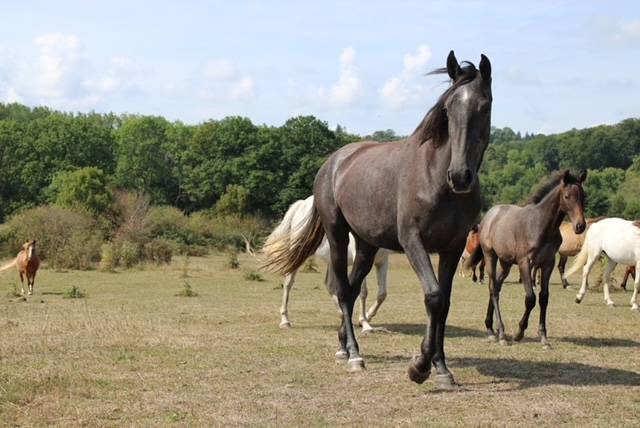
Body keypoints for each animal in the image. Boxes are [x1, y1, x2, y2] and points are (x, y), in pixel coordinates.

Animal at [263, 196, 390, 333]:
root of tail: (302, 204)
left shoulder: (382, 261)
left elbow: (382, 294)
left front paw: (368, 316)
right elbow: (363, 292)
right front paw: (365, 325)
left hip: (332, 259)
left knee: (329, 284)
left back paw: (343, 314)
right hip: (299, 252)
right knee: (288, 283)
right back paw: (285, 321)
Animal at [468, 170, 586, 347]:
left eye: (583, 196)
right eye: (567, 196)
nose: (580, 226)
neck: (541, 225)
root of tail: (488, 217)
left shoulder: (548, 264)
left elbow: (544, 297)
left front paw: (543, 337)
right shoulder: (525, 263)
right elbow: (530, 298)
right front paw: (519, 332)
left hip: (506, 263)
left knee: (496, 286)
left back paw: (490, 328)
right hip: (490, 257)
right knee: (493, 288)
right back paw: (500, 334)